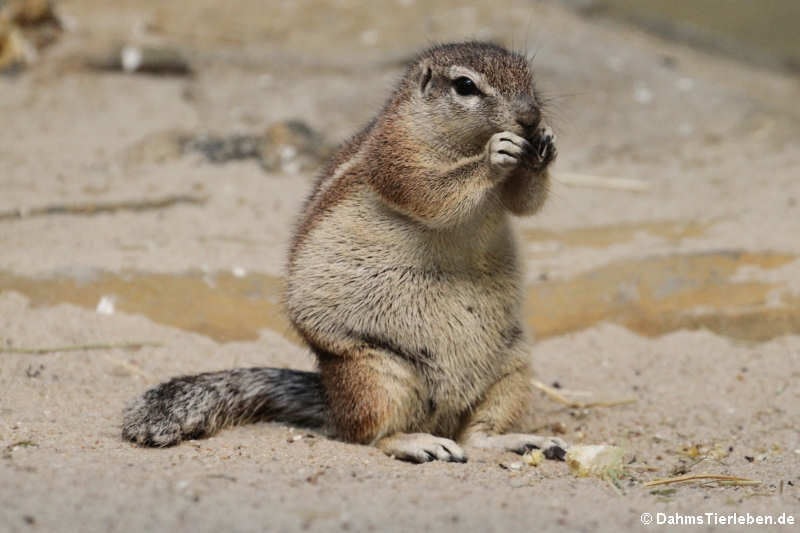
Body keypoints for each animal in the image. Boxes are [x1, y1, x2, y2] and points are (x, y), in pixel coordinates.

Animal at [123, 40, 564, 462]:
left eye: (527, 74)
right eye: (465, 86)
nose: (530, 117)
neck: (458, 142)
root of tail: (332, 401)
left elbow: (526, 202)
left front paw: (545, 146)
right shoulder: (394, 156)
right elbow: (432, 194)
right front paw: (495, 155)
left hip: (512, 370)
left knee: (477, 435)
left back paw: (521, 441)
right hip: (375, 374)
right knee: (368, 436)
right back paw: (418, 443)